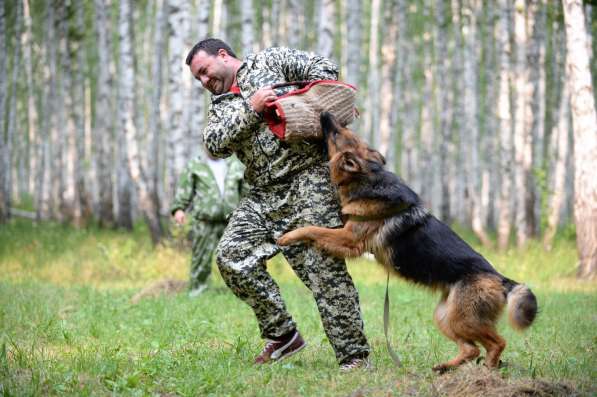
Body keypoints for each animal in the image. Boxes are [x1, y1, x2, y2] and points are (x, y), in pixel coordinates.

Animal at [278, 111, 536, 372]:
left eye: (337, 133)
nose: (324, 113)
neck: (369, 177)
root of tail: (502, 280)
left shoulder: (349, 239)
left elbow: (312, 228)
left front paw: (288, 236)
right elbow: (319, 227)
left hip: (463, 320)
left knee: (497, 343)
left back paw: (488, 369)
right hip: (445, 317)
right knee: (471, 349)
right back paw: (445, 367)